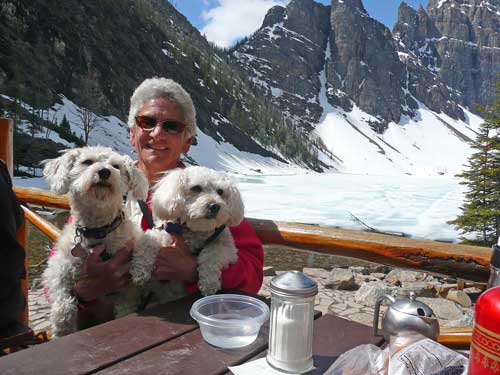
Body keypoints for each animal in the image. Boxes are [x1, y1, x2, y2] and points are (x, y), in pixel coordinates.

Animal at [42, 146, 148, 338]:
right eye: (87, 162)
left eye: (116, 166)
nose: (105, 171)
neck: (98, 232)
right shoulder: (59, 265)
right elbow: (61, 295)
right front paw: (62, 326)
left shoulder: (127, 288)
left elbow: (125, 309)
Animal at [132, 167, 243, 302]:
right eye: (196, 188)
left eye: (220, 191)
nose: (215, 206)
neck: (194, 230)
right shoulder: (163, 233)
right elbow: (147, 243)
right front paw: (140, 272)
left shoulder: (227, 248)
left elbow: (212, 254)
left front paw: (209, 283)